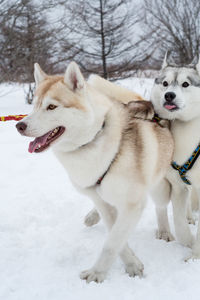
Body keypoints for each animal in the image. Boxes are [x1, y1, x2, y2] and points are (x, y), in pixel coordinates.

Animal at [16, 62, 173, 282]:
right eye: (35, 106)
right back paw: (92, 216)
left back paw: (164, 230)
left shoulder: (133, 205)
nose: (19, 125)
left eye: (52, 106)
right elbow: (116, 235)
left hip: (158, 185)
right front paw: (132, 262)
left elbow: (112, 243)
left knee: (160, 207)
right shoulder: (103, 201)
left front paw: (97, 273)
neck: (94, 140)